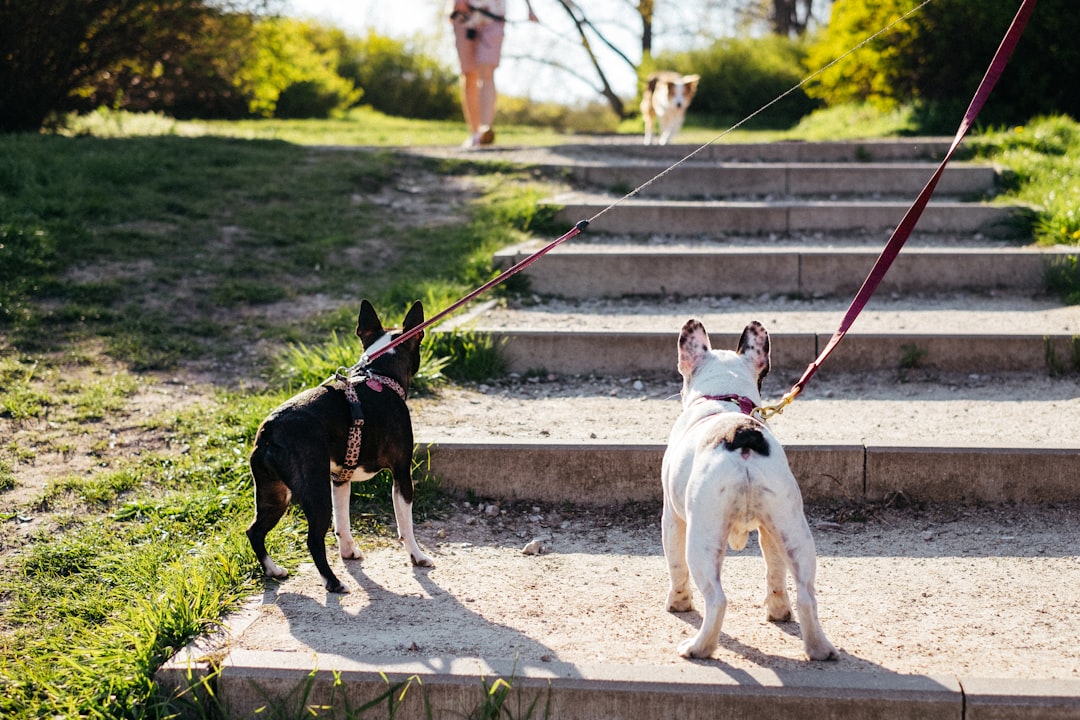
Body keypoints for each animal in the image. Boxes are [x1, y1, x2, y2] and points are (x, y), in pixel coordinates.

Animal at [247, 302, 432, 595]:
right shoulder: (402, 473)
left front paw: (348, 551)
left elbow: (342, 520)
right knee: (312, 540)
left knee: (255, 530)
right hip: (314, 491)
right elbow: (406, 524)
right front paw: (417, 556)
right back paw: (332, 582)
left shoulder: (341, 479)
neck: (379, 376)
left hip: (274, 493)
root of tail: (270, 430)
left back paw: (273, 569)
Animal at [660, 321, 838, 664]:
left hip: (704, 535)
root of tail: (742, 435)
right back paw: (818, 648)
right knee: (806, 593)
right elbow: (775, 571)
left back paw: (699, 647)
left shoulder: (672, 518)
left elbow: (675, 566)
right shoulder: (769, 532)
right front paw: (778, 611)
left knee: (716, 598)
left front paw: (678, 603)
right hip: (791, 527)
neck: (724, 398)